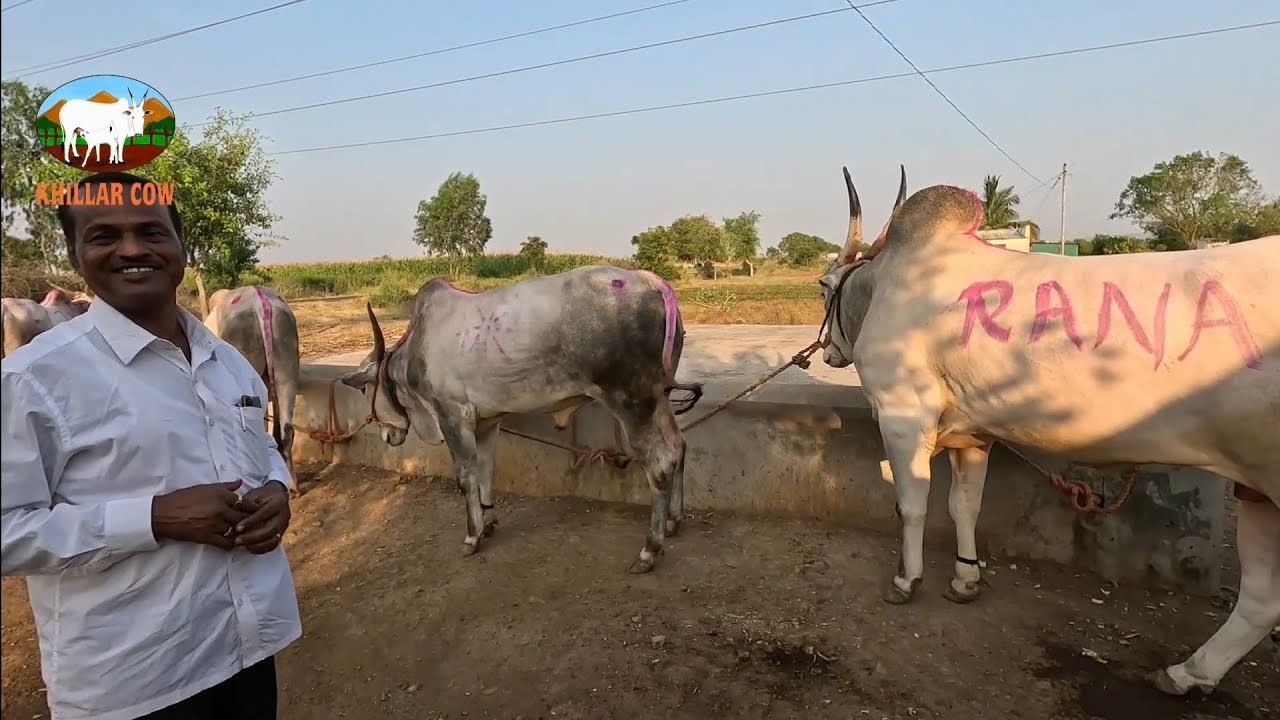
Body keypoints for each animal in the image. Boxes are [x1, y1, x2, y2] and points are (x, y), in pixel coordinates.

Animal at [338, 266, 705, 573]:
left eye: (364, 389)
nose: (387, 436)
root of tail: (652, 282)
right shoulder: (486, 422)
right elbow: (485, 472)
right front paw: (488, 522)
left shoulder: (451, 414)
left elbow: (466, 477)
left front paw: (472, 536)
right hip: (659, 400)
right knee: (679, 446)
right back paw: (673, 521)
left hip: (631, 402)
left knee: (660, 463)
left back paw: (649, 550)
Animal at [817, 166, 1279, 697]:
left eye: (821, 287)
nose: (827, 352)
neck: (883, 288)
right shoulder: (972, 435)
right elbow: (964, 506)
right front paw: (965, 579)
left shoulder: (903, 415)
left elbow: (913, 507)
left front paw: (905, 581)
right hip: (1255, 487)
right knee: (1262, 600)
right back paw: (1189, 672)